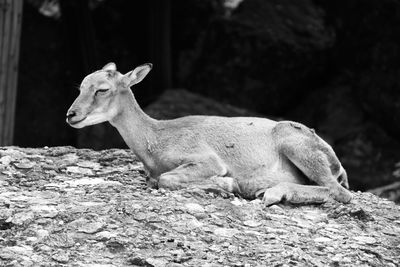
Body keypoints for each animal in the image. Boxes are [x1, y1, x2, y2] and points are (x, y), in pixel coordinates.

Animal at [66, 63, 354, 207]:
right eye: (80, 86)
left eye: (102, 89)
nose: (71, 114)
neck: (156, 139)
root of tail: (337, 163)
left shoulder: (206, 159)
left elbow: (167, 180)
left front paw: (226, 184)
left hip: (296, 145)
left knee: (337, 191)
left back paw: (272, 193)